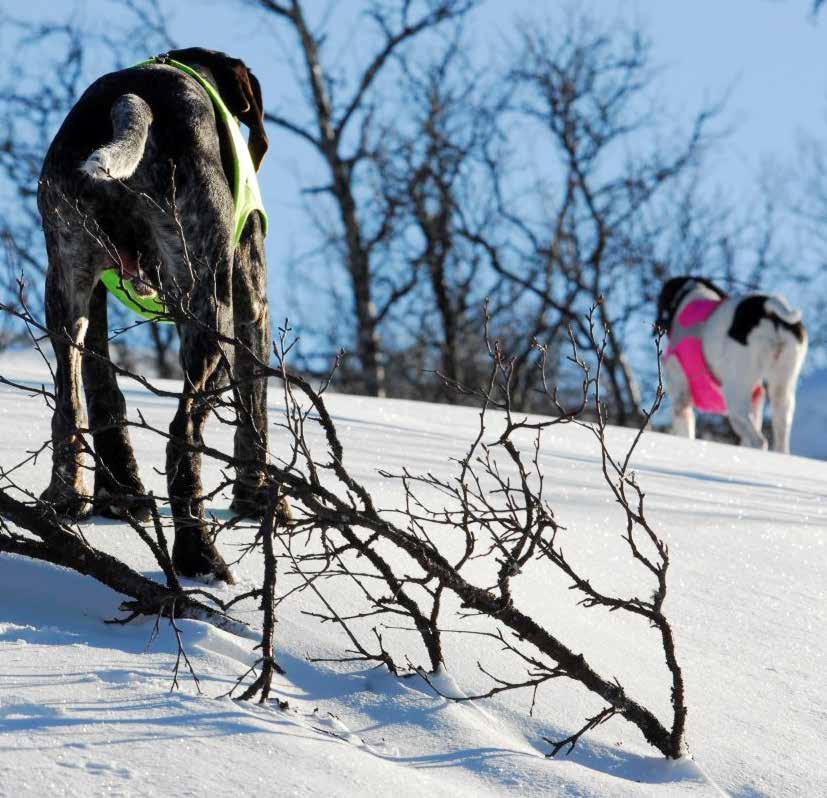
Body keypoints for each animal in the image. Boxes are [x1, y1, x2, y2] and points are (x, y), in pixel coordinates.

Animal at [38, 50, 276, 584]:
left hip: (65, 282)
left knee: (69, 407)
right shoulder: (251, 291)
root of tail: (133, 100)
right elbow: (255, 410)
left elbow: (104, 393)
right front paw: (257, 499)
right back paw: (198, 554)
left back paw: (72, 498)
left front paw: (118, 493)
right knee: (182, 436)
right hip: (210, 311)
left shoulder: (95, 297)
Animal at [652, 276, 808, 454]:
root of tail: (766, 306)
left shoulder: (681, 399)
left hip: (735, 395)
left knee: (758, 440)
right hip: (783, 386)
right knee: (779, 434)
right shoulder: (757, 398)